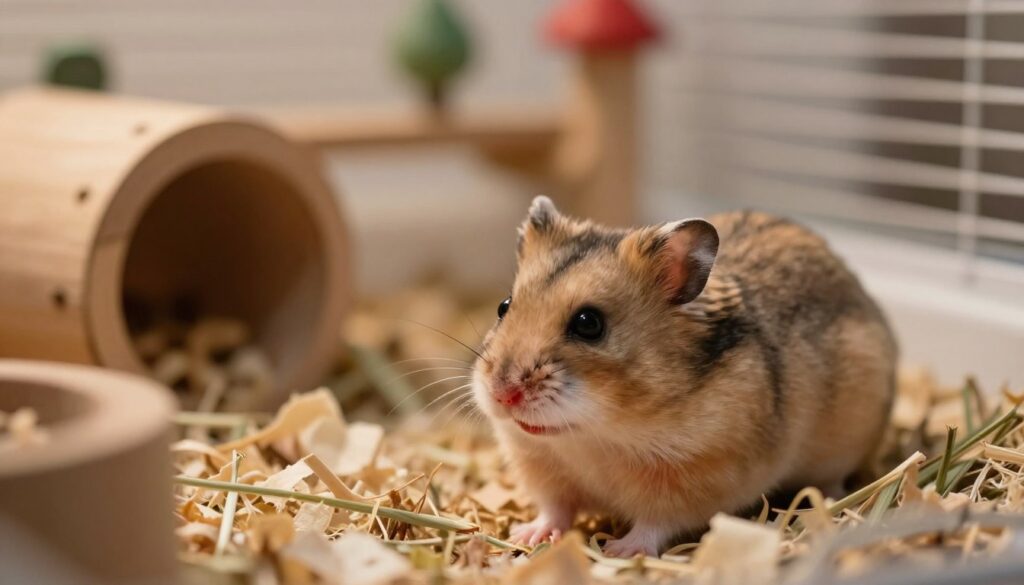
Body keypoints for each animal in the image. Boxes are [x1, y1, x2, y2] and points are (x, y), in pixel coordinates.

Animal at [471, 196, 896, 557]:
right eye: (503, 306)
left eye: (589, 324)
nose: (502, 394)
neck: (595, 436)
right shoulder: (542, 467)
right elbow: (555, 509)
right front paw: (526, 534)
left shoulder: (695, 476)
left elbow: (654, 523)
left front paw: (620, 551)